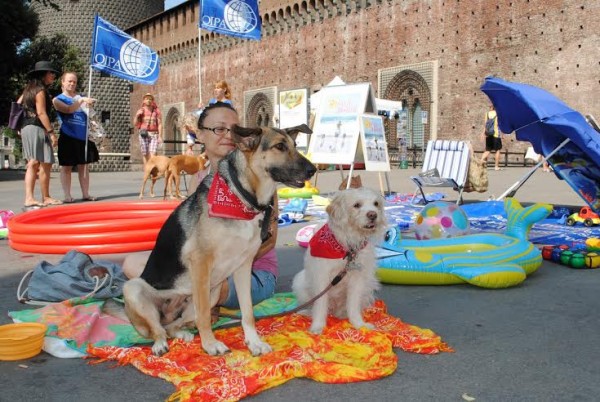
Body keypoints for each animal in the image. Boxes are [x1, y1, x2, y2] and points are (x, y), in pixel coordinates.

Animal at [123, 124, 318, 356]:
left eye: (295, 145)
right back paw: (160, 344)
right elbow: (204, 317)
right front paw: (210, 344)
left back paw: (182, 334)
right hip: (134, 289)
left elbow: (248, 312)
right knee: (159, 329)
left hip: (214, 289)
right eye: (279, 146)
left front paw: (253, 342)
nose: (313, 170)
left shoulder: (243, 266)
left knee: (172, 325)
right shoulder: (201, 263)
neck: (242, 199)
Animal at [292, 187, 386, 334]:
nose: (373, 215)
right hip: (300, 281)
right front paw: (317, 326)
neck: (347, 248)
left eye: (376, 204)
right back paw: (307, 313)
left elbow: (353, 305)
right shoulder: (321, 278)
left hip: (369, 284)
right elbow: (320, 306)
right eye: (357, 205)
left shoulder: (357, 280)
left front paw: (359, 324)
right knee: (313, 306)